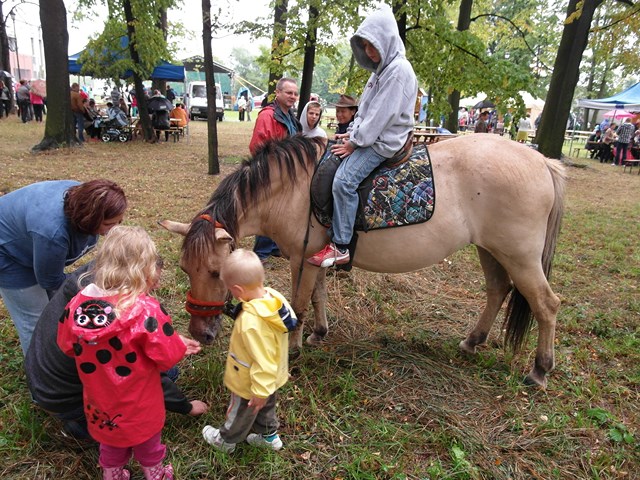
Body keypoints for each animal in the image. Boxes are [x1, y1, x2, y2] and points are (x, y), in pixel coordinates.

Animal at [161, 133, 564, 388]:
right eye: (184, 269)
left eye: (216, 271)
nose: (200, 333)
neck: (291, 189)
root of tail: (542, 161)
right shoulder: (316, 258)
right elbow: (319, 296)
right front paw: (320, 333)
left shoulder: (302, 258)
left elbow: (299, 304)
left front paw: (293, 350)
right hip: (491, 250)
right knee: (497, 290)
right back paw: (473, 341)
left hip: (519, 255)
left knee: (546, 304)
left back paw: (540, 370)